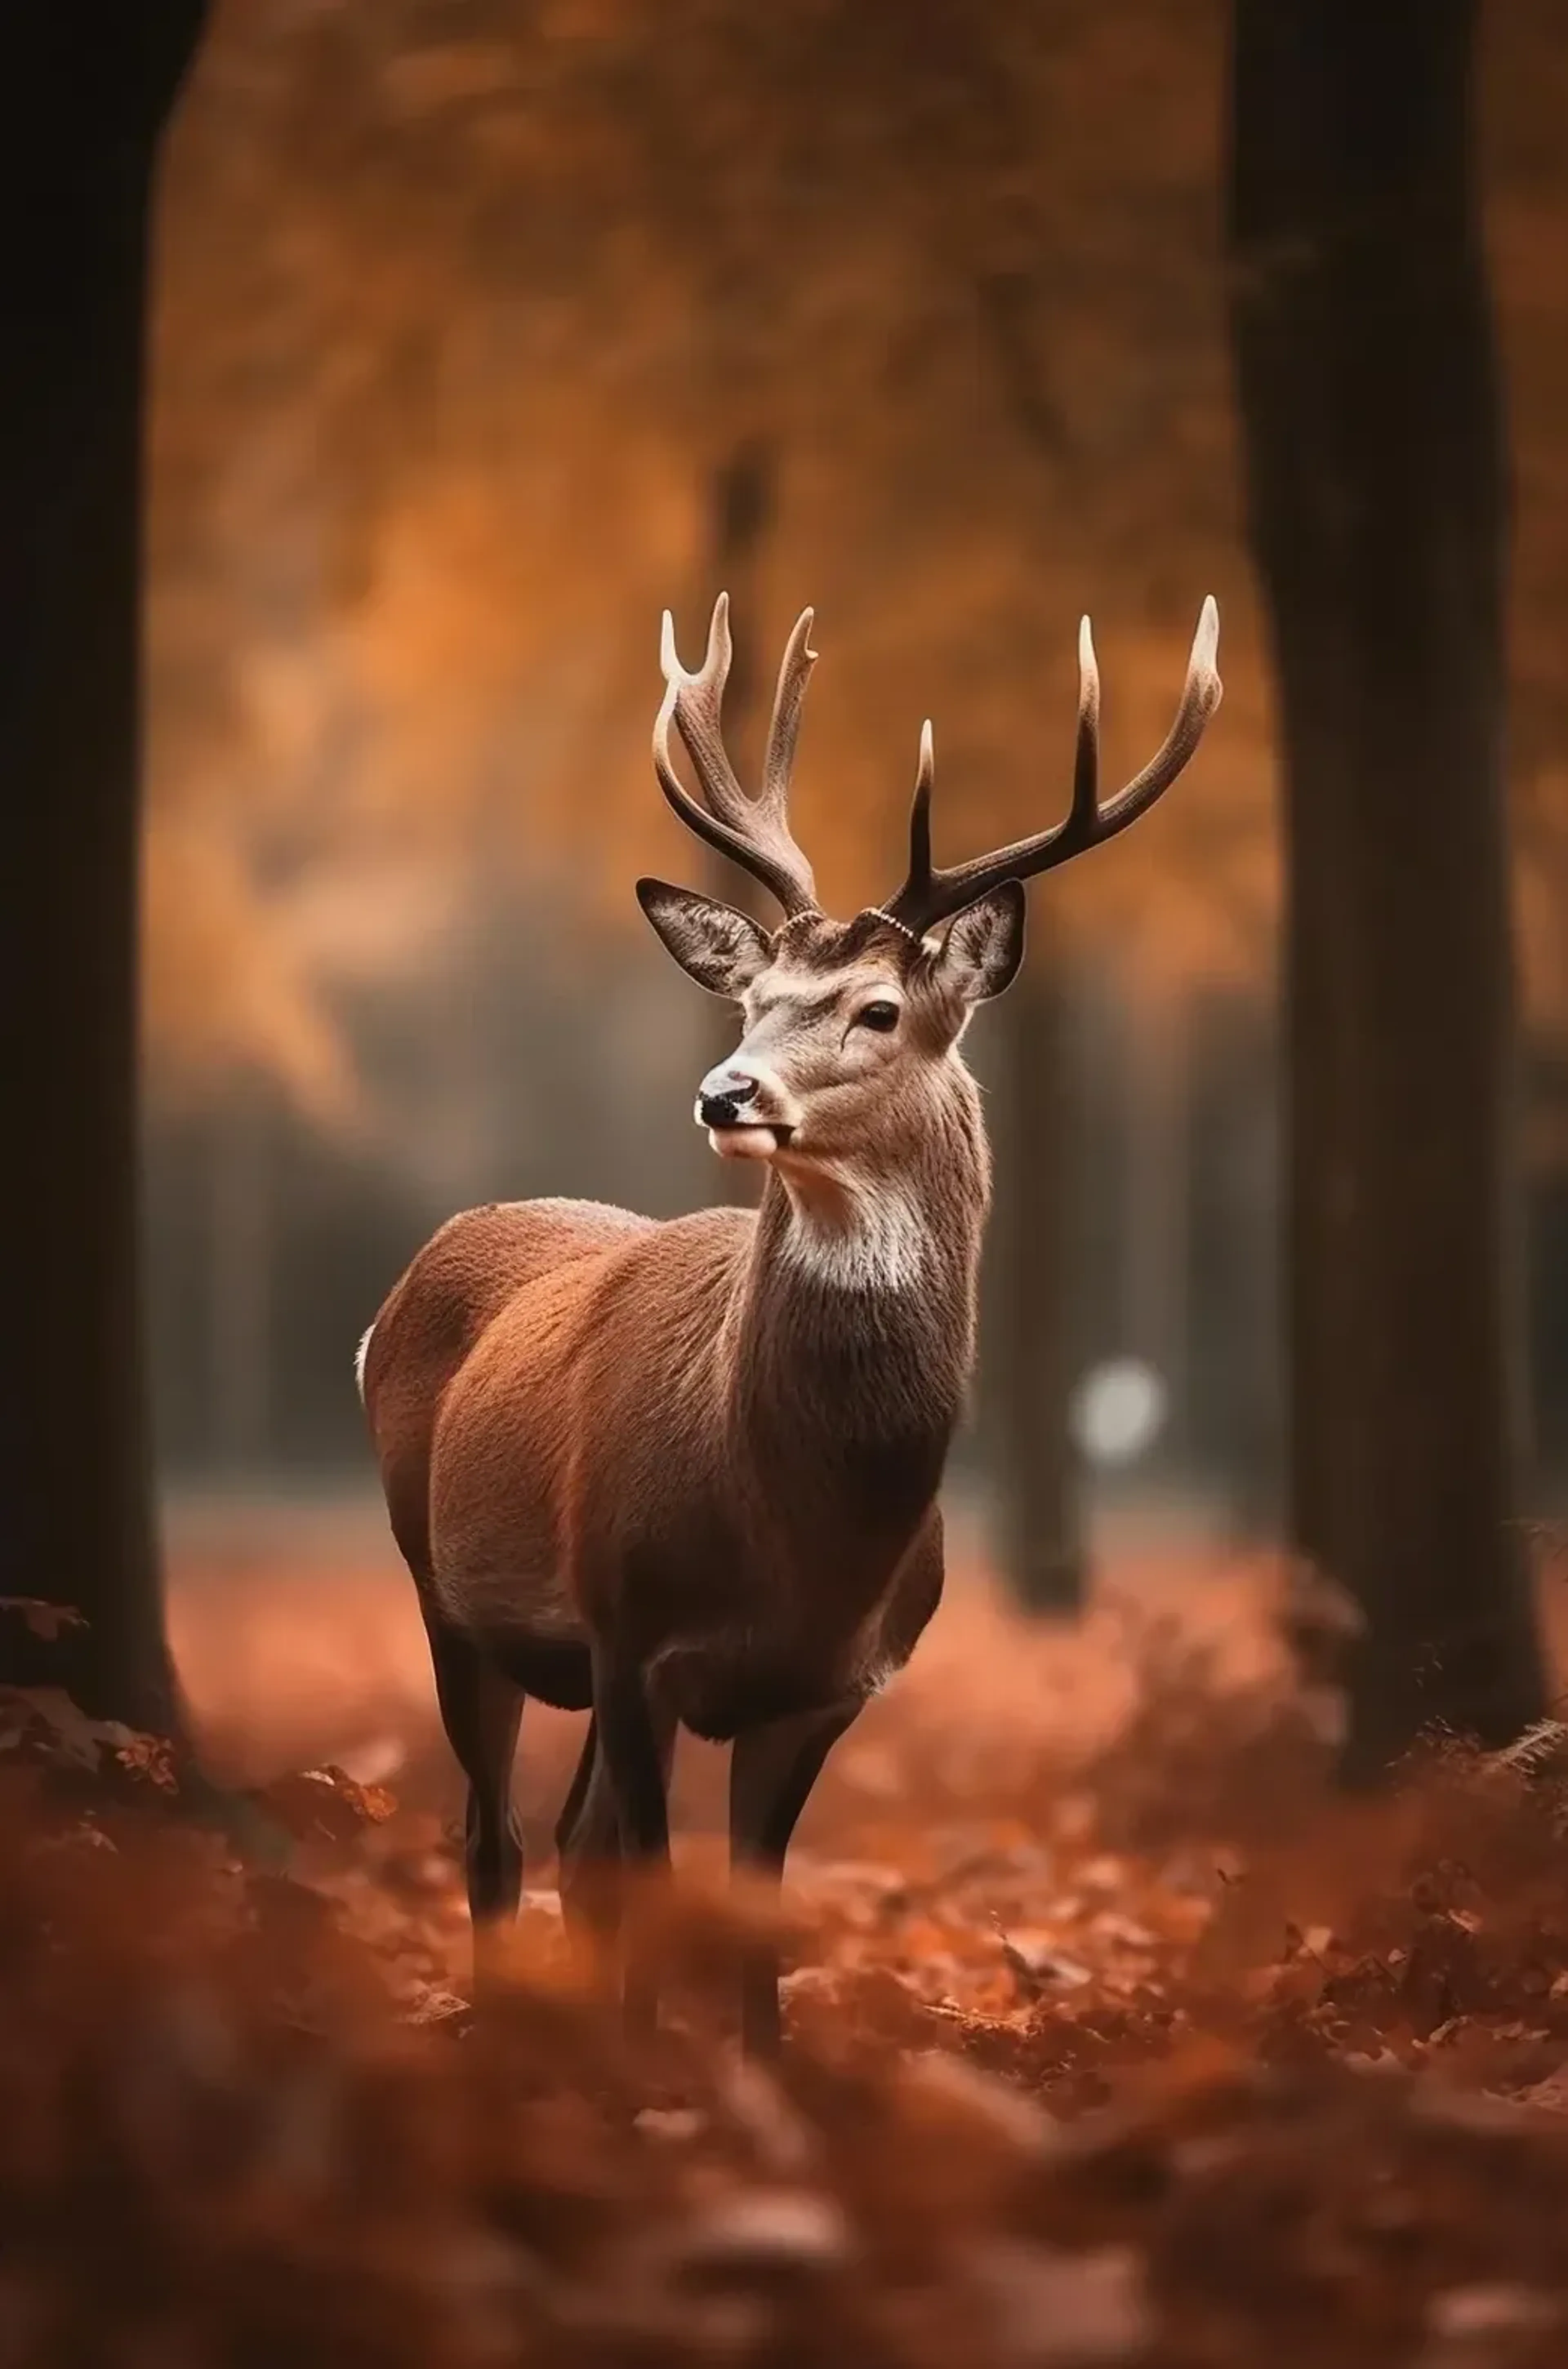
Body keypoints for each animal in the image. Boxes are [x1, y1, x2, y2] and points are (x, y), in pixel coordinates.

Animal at [357, 590, 1221, 2054]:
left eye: (880, 1009)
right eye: (751, 1001)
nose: (727, 1092)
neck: (796, 1530)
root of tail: (403, 1285)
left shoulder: (826, 1687)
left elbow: (743, 1911)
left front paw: (748, 2072)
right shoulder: (633, 1627)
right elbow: (645, 1878)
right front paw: (650, 2076)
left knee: (565, 1843)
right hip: (447, 1591)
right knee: (496, 1837)